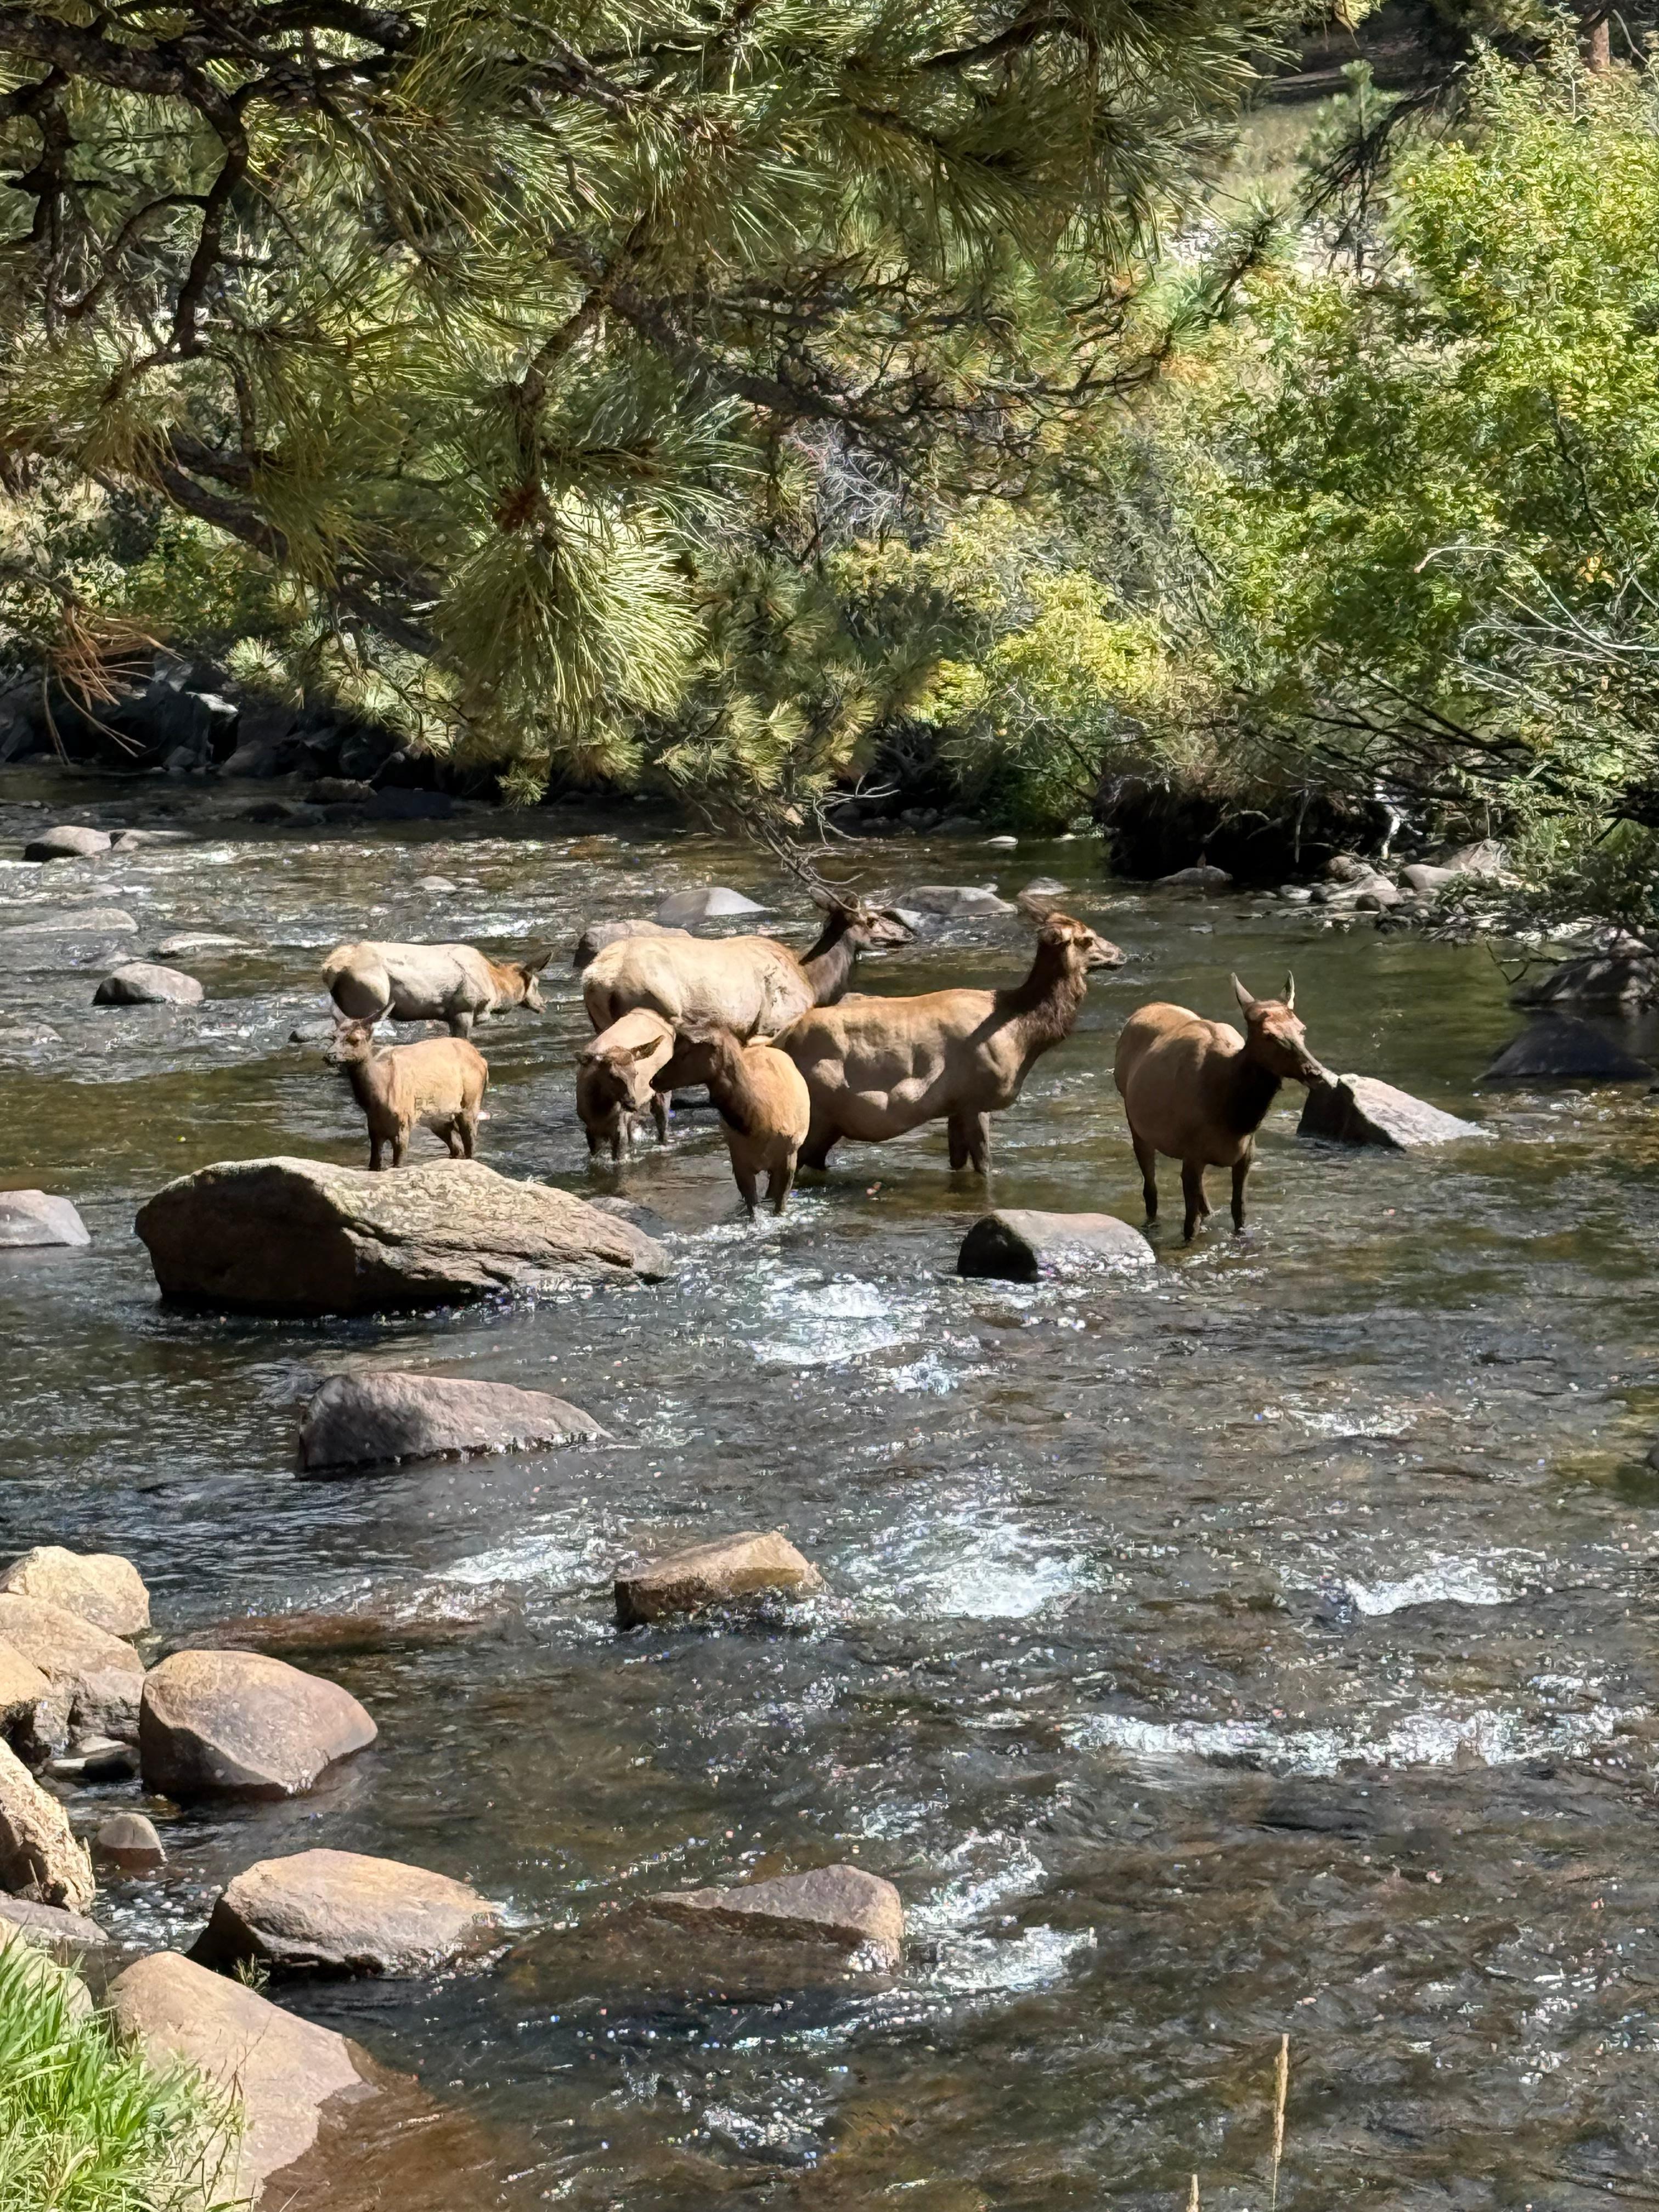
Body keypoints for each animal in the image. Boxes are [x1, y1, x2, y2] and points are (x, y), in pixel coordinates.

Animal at [325, 1020, 488, 1170]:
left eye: (354, 1040)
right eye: (333, 1037)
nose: (329, 1055)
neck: (376, 1102)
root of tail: (482, 1059)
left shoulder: (403, 1124)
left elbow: (399, 1164)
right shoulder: (374, 1130)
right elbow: (374, 1165)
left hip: (470, 1102)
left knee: (469, 1142)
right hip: (438, 1117)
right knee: (457, 1147)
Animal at [577, 1009, 676, 1161]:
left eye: (635, 1073)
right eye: (612, 1075)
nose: (631, 1102)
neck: (599, 1110)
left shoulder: (619, 1126)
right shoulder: (590, 1129)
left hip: (663, 1092)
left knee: (663, 1126)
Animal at [658, 1025, 812, 1216]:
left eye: (686, 1051)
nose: (654, 1080)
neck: (758, 1125)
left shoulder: (789, 1157)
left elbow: (779, 1207)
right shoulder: (739, 1162)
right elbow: (752, 1210)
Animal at [773, 909, 1123, 1175]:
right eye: (1086, 938)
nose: (1120, 954)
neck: (1023, 1034)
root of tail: (782, 1039)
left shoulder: (955, 1106)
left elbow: (957, 1163)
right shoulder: (975, 1099)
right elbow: (985, 1166)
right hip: (816, 1115)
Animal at [1112, 974, 1329, 1241]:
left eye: (1302, 1029)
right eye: (1269, 1035)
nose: (1316, 1072)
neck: (1233, 1118)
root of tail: (1140, 1012)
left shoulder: (1245, 1156)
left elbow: (1239, 1212)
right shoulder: (1191, 1155)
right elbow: (1190, 1226)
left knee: (1202, 1199)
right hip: (1137, 1124)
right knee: (1150, 1190)